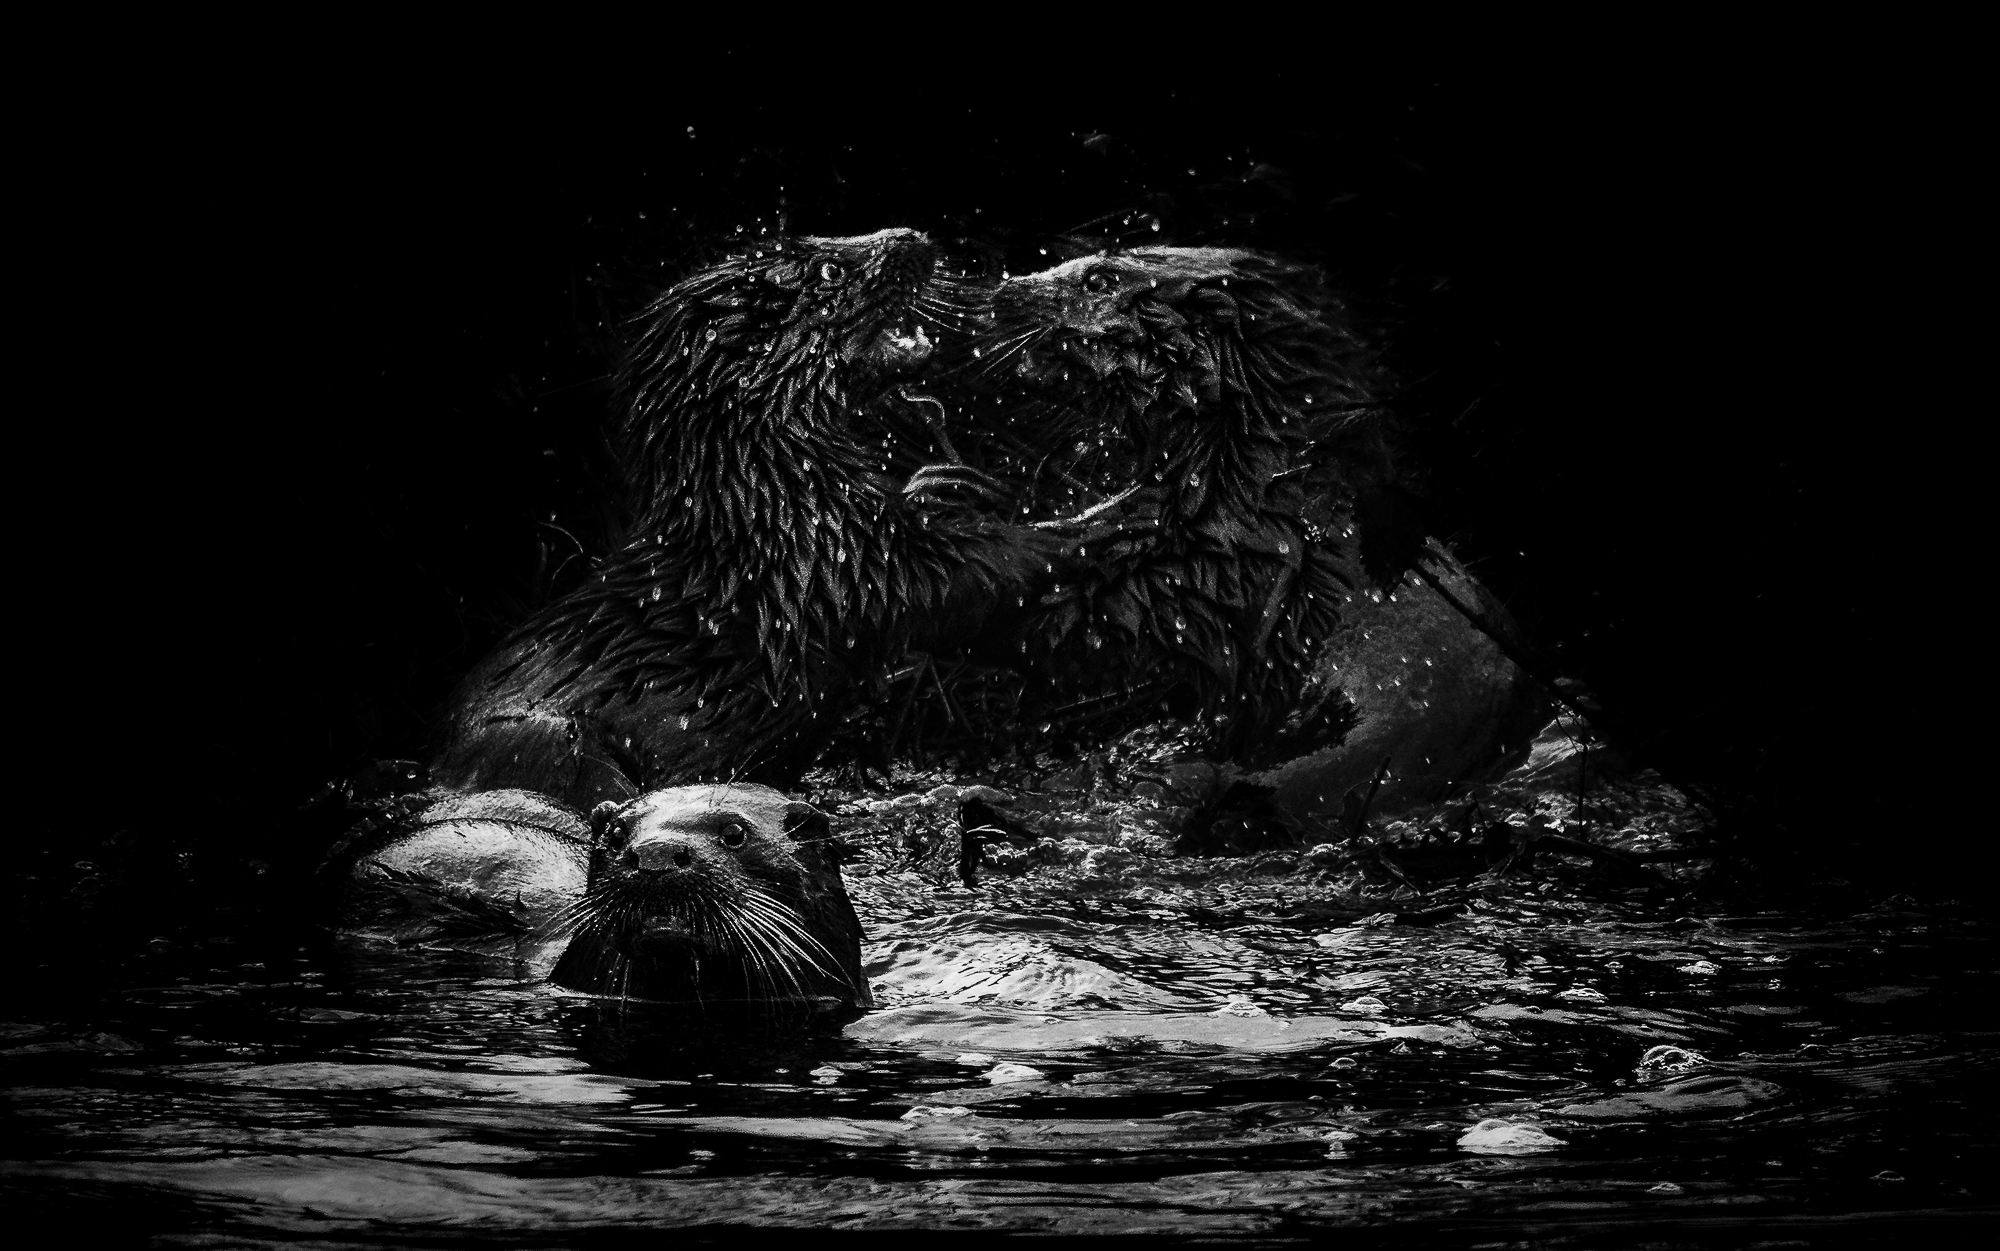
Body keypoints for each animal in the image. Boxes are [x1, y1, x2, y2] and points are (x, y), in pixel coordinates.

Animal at [430, 230, 1059, 810]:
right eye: (831, 269)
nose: (916, 236)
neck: (766, 497)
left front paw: (947, 484)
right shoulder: (841, 550)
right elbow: (963, 576)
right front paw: (1066, 534)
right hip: (552, 739)